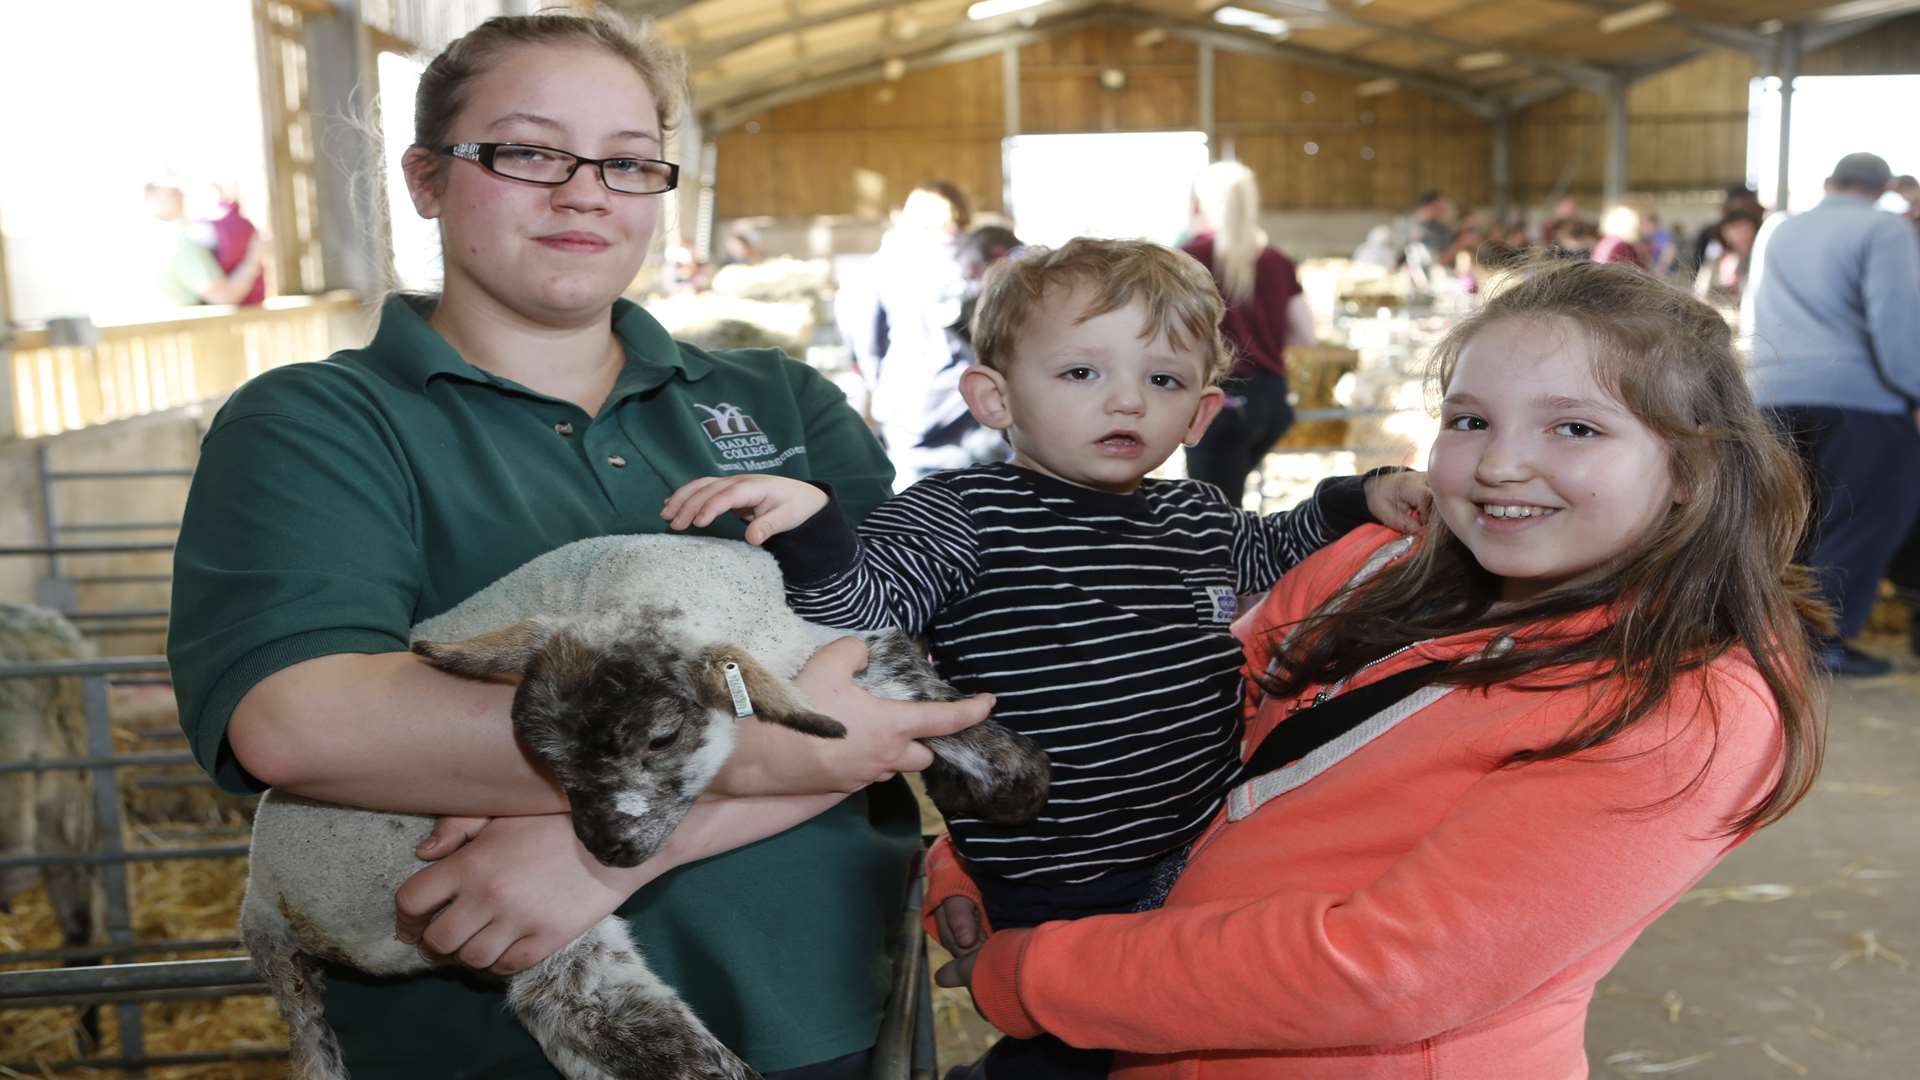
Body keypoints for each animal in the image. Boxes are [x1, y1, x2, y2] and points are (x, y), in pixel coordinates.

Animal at [243, 534, 1052, 1076]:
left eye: (661, 737)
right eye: (540, 756)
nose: (607, 850)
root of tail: (260, 903)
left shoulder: (826, 648)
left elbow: (910, 678)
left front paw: (1010, 784)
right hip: (534, 930)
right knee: (624, 1029)